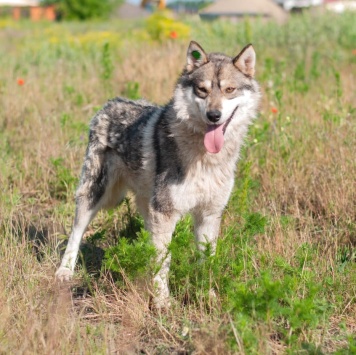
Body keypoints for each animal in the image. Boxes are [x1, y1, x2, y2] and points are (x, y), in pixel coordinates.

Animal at [56, 41, 262, 308]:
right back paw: (64, 271)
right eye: (202, 90)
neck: (204, 157)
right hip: (97, 194)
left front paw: (208, 296)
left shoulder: (209, 214)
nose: (214, 115)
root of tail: (110, 103)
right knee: (76, 232)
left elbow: (207, 262)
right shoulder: (165, 213)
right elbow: (164, 262)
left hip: (144, 205)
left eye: (229, 89)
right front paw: (163, 302)